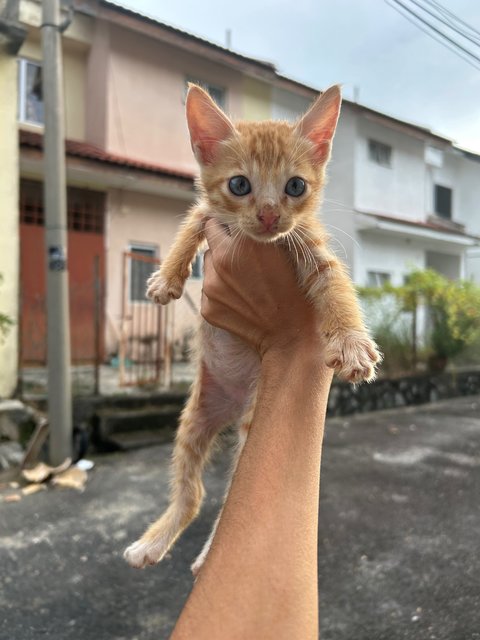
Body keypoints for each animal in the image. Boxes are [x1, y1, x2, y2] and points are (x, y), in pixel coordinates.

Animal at [124, 84, 382, 568]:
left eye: (295, 186)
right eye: (239, 185)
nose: (267, 216)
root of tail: (231, 404)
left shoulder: (313, 248)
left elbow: (338, 290)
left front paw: (353, 343)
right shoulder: (208, 213)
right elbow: (190, 225)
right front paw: (167, 279)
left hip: (252, 422)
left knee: (229, 502)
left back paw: (207, 555)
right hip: (194, 417)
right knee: (193, 494)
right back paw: (154, 543)